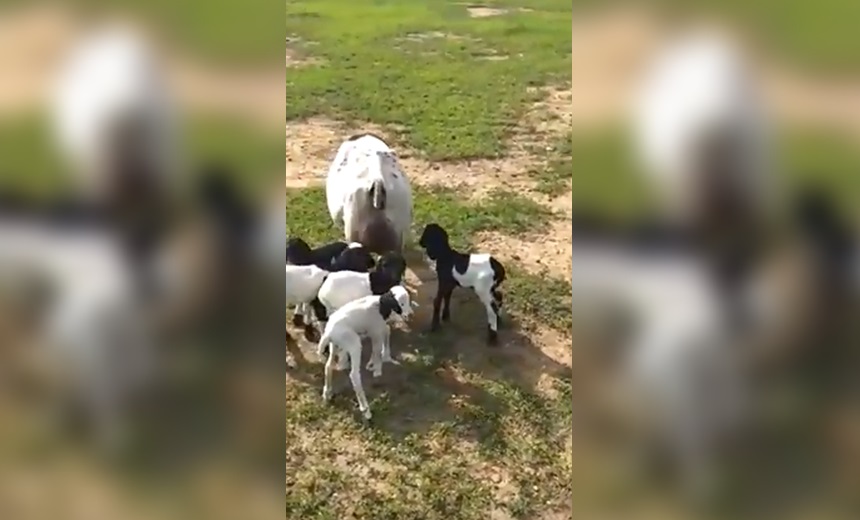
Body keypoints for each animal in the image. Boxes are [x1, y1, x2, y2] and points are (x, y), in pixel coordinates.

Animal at [314, 286, 414, 420]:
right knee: (354, 375)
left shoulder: (375, 331)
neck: (381, 305)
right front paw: (377, 369)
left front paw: (374, 363)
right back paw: (365, 409)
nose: (410, 313)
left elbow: (382, 339)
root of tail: (328, 334)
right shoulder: (376, 331)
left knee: (329, 366)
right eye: (402, 303)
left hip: (334, 345)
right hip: (354, 345)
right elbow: (377, 350)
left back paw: (326, 394)